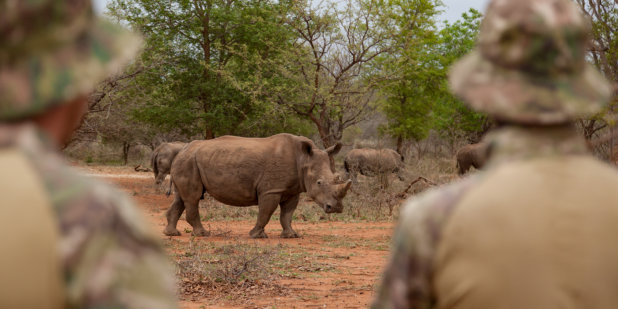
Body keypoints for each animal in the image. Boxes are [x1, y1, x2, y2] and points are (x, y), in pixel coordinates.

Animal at [161, 133, 348, 238]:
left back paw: (172, 234)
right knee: (192, 198)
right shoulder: (271, 189)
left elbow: (287, 214)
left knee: (181, 198)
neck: (303, 159)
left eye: (336, 178)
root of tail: (182, 149)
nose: (336, 208)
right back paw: (203, 234)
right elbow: (266, 212)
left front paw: (292, 235)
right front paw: (257, 235)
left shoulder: (292, 190)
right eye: (319, 182)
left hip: (187, 161)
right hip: (189, 162)